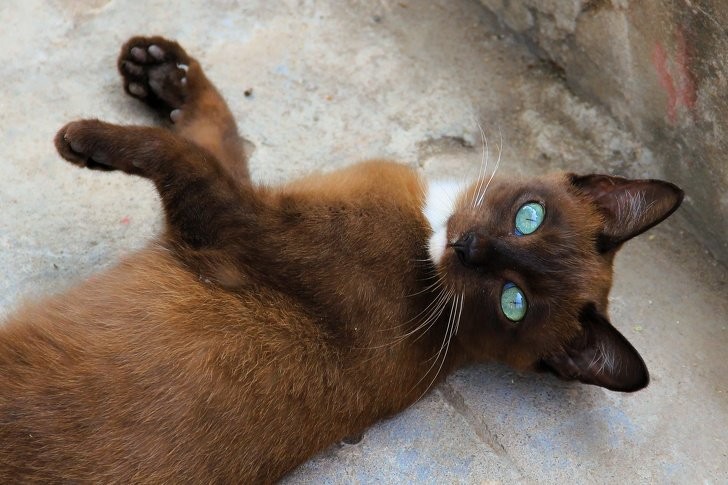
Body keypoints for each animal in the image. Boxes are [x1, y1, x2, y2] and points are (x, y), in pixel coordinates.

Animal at [0, 36, 684, 482]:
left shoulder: (232, 221)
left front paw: (85, 138)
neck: (428, 238)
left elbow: (181, 153)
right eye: (529, 217)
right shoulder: (250, 197)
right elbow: (213, 129)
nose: (468, 247)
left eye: (512, 302)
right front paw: (159, 69)